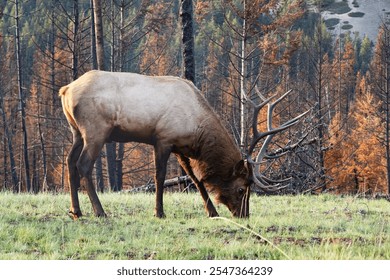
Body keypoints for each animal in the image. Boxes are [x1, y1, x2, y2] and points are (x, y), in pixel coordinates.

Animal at [61, 69, 304, 219]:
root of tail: (66, 90)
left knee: (69, 162)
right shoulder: (163, 138)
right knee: (83, 164)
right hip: (95, 130)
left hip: (76, 132)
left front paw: (212, 212)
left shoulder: (180, 148)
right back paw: (99, 211)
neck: (196, 130)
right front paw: (159, 212)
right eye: (242, 188)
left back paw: (76, 210)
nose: (244, 215)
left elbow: (196, 179)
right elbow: (160, 176)